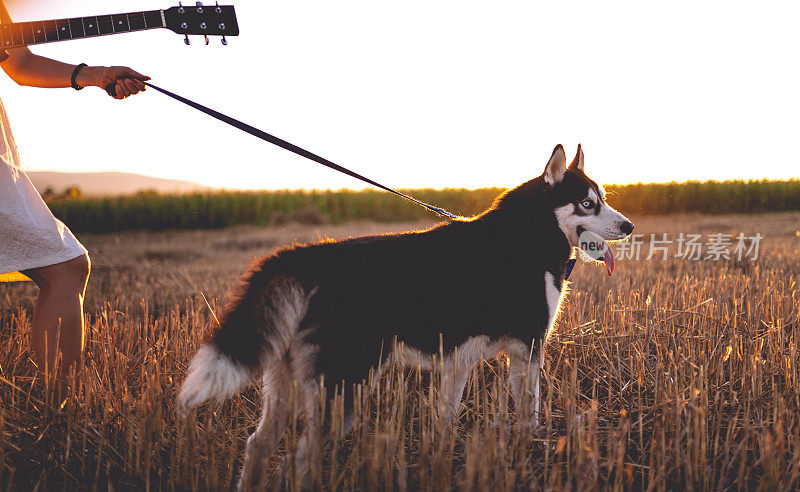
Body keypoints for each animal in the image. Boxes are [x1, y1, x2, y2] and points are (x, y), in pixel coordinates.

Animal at [178, 143, 636, 488]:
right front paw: (532, 455)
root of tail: (303, 257)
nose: (629, 226)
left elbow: (446, 422)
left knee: (257, 446)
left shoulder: (459, 362)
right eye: (587, 204)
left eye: (604, 200)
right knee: (294, 461)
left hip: (287, 388)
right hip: (343, 391)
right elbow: (530, 416)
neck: (527, 234)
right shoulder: (528, 350)